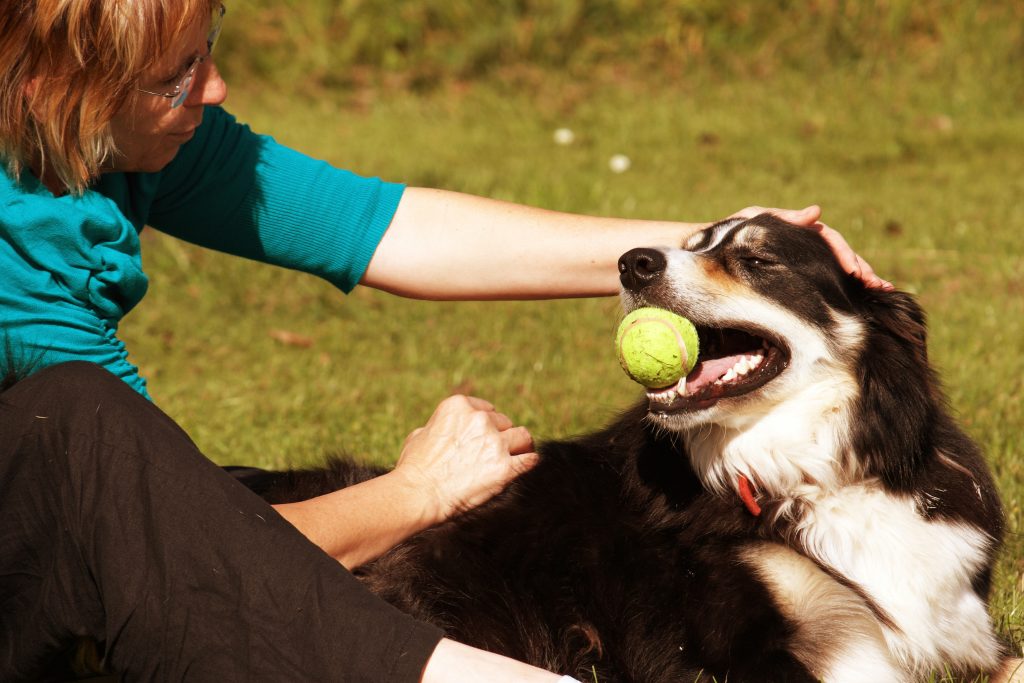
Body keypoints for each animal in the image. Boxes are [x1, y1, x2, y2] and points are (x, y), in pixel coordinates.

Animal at [253, 215, 1007, 683]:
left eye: (756, 258)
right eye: (693, 241)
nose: (633, 260)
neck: (813, 474)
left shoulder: (963, 626)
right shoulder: (743, 649)